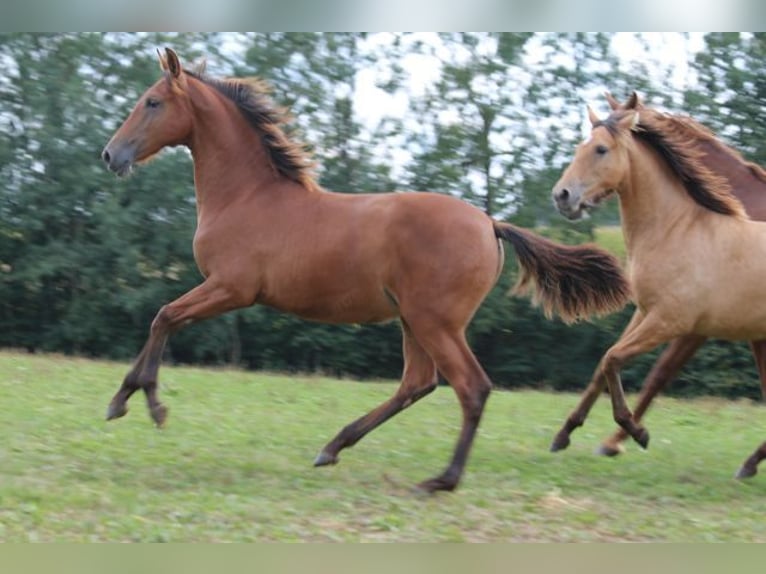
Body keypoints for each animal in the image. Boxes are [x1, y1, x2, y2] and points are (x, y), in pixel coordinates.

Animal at [102, 48, 632, 496]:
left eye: (151, 102)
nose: (111, 155)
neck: (247, 196)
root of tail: (489, 223)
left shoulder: (231, 287)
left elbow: (165, 316)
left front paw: (138, 402)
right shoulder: (226, 289)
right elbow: (165, 318)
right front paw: (133, 399)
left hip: (435, 322)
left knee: (471, 387)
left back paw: (442, 479)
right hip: (414, 321)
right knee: (417, 383)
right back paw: (333, 447)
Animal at [556, 101, 766, 480]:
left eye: (601, 149)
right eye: (580, 146)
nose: (562, 196)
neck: (676, 229)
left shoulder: (673, 323)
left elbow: (619, 362)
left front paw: (633, 433)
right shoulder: (644, 313)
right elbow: (603, 364)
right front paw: (564, 434)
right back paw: (750, 464)